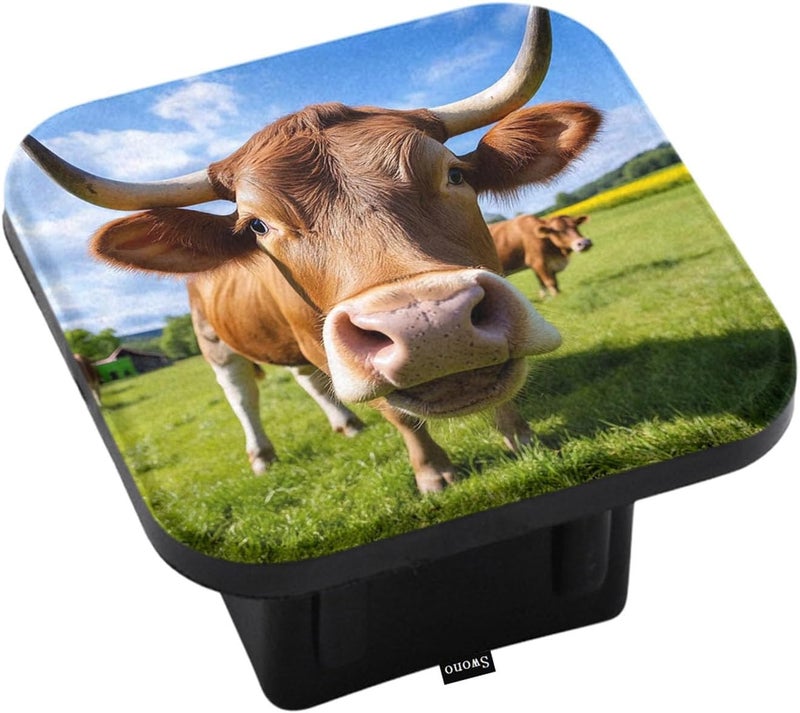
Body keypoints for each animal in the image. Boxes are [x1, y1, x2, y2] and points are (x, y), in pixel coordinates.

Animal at [22, 8, 601, 493]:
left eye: (454, 173)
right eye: (256, 225)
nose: (431, 327)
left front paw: (522, 439)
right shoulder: (319, 345)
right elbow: (397, 414)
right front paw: (433, 474)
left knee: (304, 379)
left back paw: (346, 424)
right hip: (214, 341)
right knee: (241, 393)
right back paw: (262, 455)